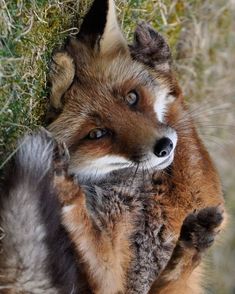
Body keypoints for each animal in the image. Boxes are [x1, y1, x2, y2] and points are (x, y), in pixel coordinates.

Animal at [46, 0, 226, 292]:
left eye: (132, 97)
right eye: (97, 134)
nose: (164, 147)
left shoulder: (203, 188)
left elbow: (179, 111)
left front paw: (156, 58)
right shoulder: (111, 268)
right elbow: (91, 242)